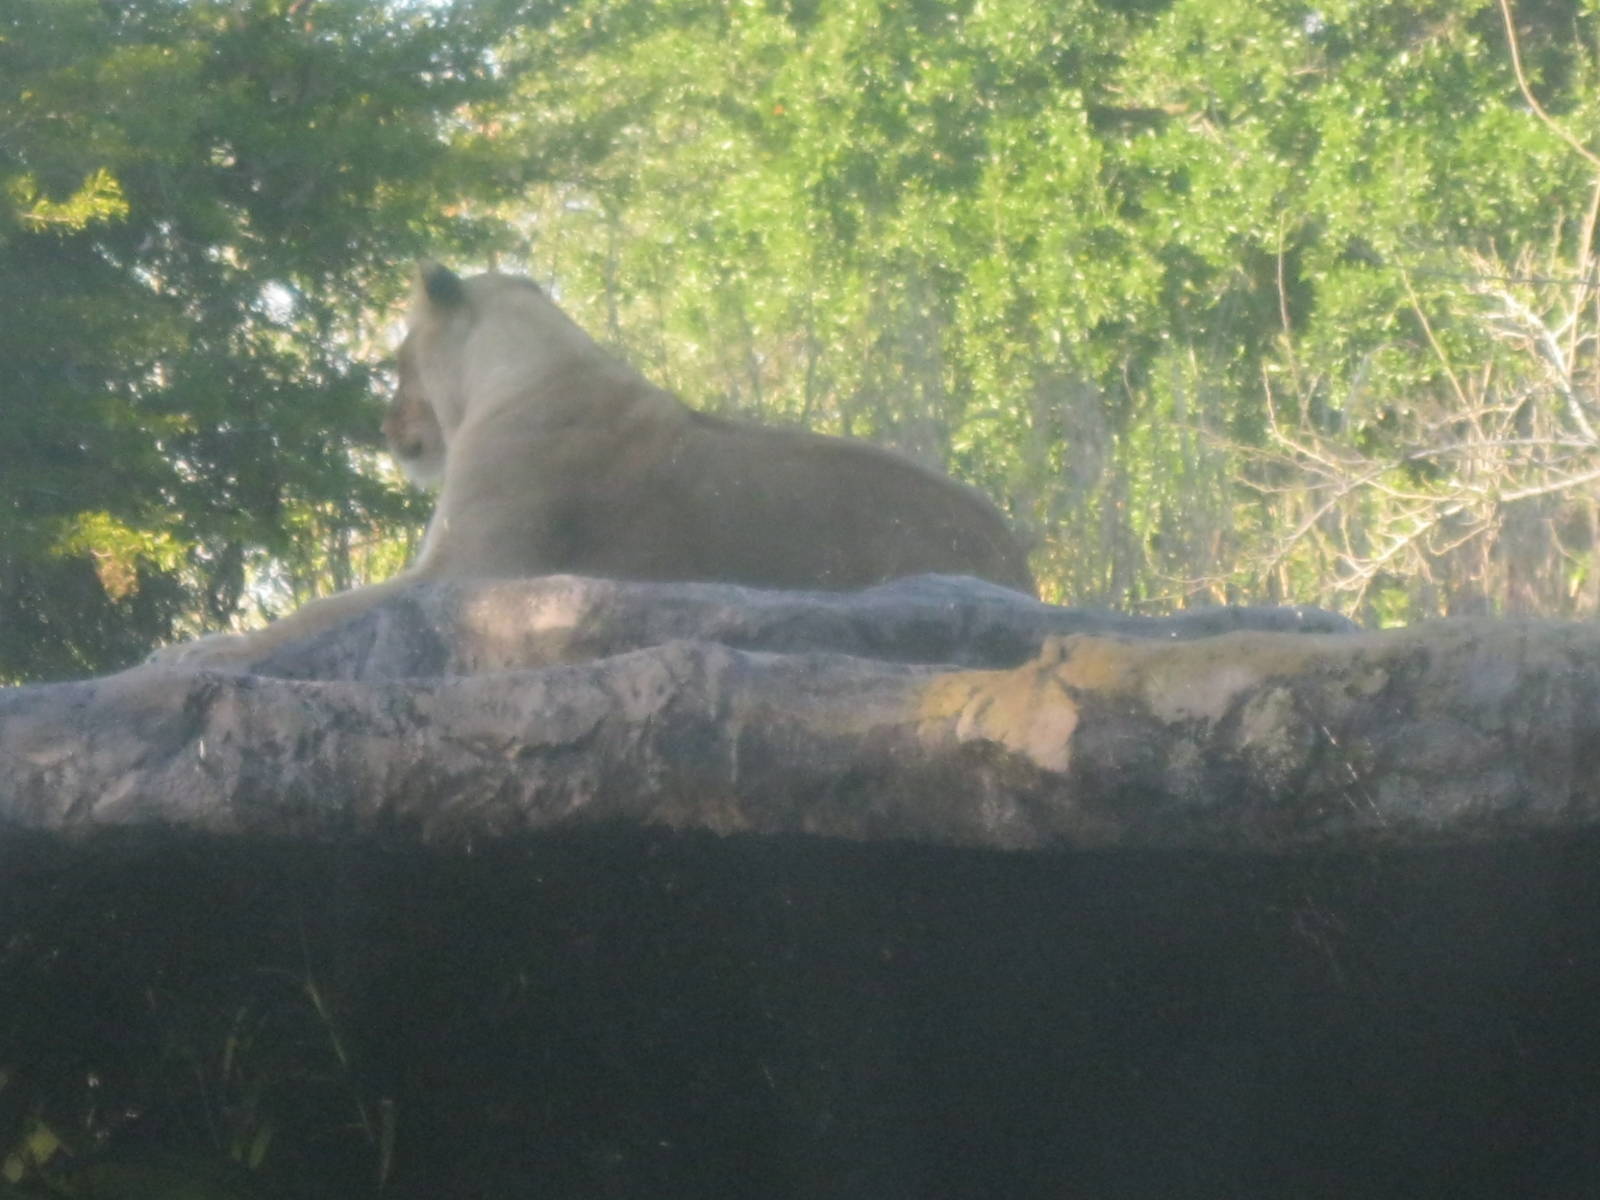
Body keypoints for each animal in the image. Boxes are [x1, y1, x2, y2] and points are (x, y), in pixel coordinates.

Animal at [154, 263, 1033, 666]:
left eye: (399, 359)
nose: (386, 426)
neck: (524, 370)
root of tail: (1019, 563)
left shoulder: (469, 574)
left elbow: (317, 613)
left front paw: (198, 651)